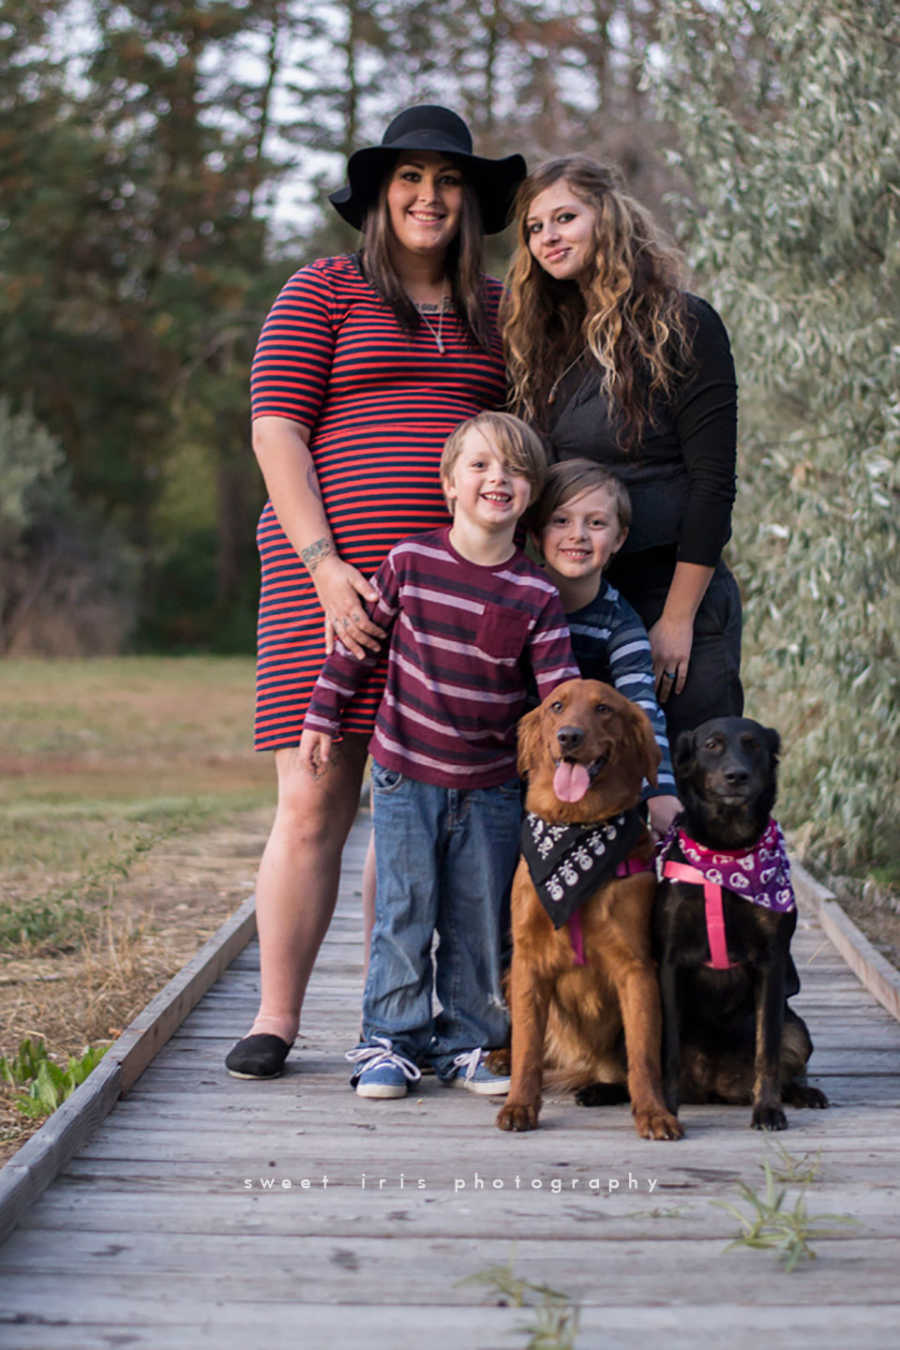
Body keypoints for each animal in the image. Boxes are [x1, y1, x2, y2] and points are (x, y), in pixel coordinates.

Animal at [655, 718, 831, 1128]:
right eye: (712, 745)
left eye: (752, 745)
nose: (737, 775)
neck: (726, 852)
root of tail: (711, 1086)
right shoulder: (670, 961)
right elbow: (667, 1051)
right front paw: (666, 1111)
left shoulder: (771, 961)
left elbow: (767, 1050)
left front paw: (767, 1109)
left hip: (797, 1029)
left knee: (786, 1061)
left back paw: (803, 1093)